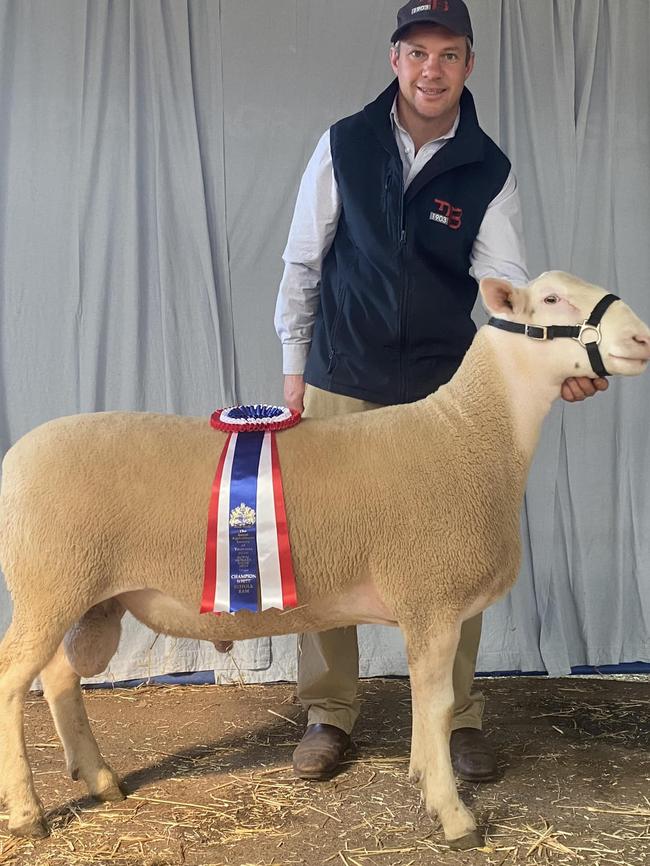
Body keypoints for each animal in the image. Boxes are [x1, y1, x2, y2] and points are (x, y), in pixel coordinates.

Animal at [0, 268, 644, 844]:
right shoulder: (431, 596)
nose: (640, 339)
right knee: (13, 679)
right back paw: (29, 813)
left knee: (59, 678)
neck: (468, 432)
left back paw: (100, 779)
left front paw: (422, 775)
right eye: (552, 298)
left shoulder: (430, 608)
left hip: (85, 595)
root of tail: (15, 457)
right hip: (49, 582)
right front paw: (454, 815)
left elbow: (426, 705)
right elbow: (437, 706)